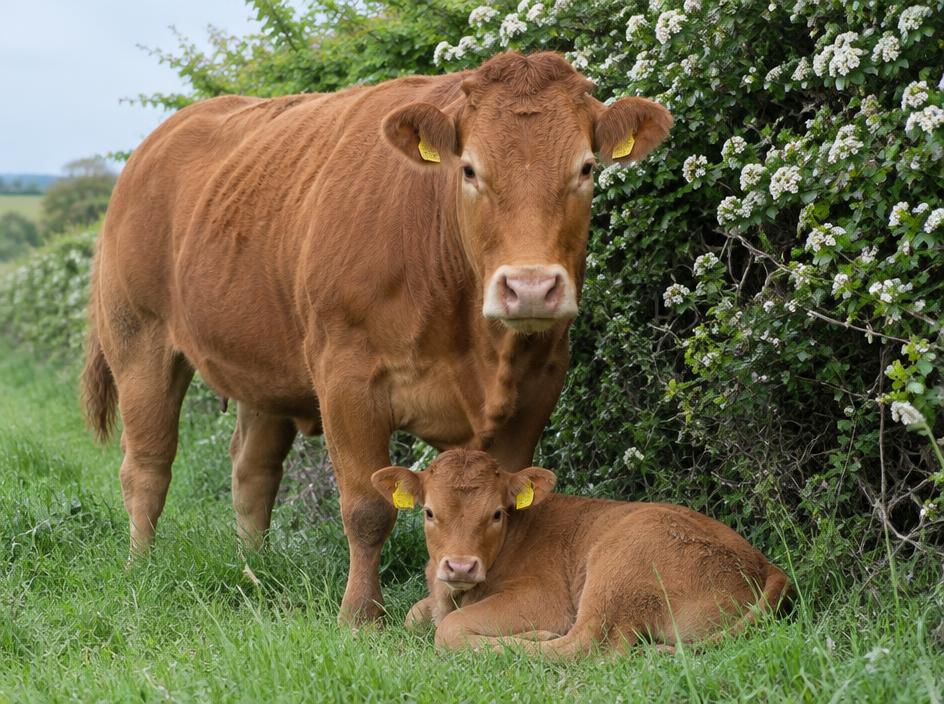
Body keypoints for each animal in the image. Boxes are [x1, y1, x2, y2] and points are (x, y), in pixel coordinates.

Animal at [80, 51, 673, 624]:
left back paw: (254, 566)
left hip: (261, 368)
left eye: (587, 168)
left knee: (252, 470)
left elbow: (512, 498)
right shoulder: (347, 379)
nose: (529, 288)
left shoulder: (535, 388)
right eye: (469, 169)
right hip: (139, 341)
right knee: (147, 466)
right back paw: (141, 566)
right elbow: (368, 508)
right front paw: (360, 615)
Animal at [372, 450, 791, 656]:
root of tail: (764, 564)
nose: (460, 566)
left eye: (496, 513)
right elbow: (413, 616)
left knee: (586, 644)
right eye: (429, 512)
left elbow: (448, 628)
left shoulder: (544, 597)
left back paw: (536, 638)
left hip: (619, 564)